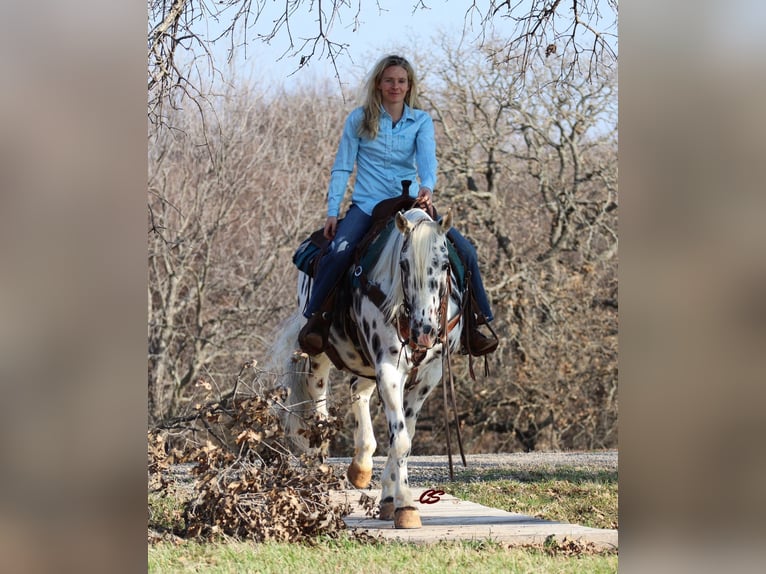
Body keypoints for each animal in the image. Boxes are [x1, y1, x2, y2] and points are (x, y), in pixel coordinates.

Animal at [272, 208, 462, 532]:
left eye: (445, 265)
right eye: (403, 264)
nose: (424, 331)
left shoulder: (428, 376)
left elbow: (404, 437)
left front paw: (390, 498)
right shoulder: (389, 369)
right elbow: (401, 439)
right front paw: (406, 506)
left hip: (365, 364)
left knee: (357, 391)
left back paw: (362, 465)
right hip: (321, 351)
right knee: (319, 407)